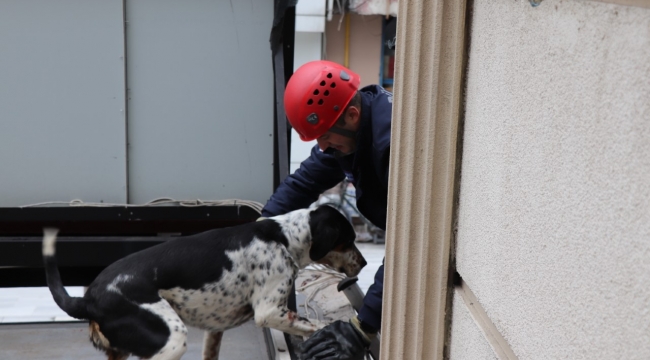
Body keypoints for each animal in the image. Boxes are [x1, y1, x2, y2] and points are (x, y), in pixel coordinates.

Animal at [41, 205, 364, 360]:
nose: (363, 264)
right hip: (170, 340)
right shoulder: (270, 312)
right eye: (348, 240)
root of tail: (87, 299)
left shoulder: (215, 330)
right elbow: (317, 325)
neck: (283, 237)